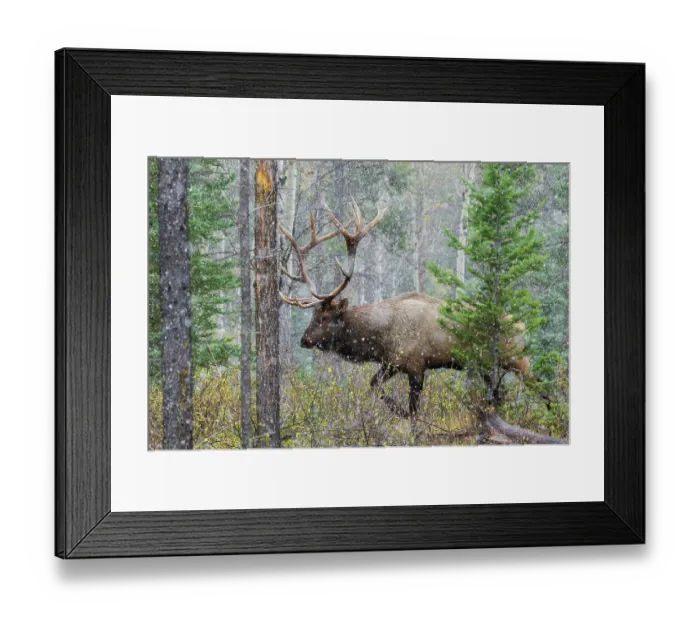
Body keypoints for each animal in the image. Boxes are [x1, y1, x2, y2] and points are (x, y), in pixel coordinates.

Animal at [279, 199, 536, 419]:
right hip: (487, 366)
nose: (304, 339)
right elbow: (374, 386)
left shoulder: (415, 365)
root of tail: (524, 327)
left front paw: (403, 414)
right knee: (499, 395)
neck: (381, 338)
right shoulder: (391, 363)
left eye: (323, 317)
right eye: (313, 314)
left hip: (517, 359)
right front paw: (396, 408)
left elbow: (413, 410)